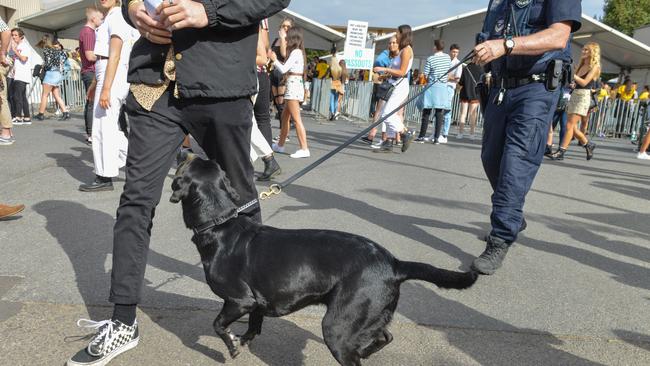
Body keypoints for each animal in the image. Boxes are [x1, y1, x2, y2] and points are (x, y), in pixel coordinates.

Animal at [171, 156, 476, 364]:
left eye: (187, 161)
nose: (184, 149)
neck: (220, 224)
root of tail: (393, 263)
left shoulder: (239, 300)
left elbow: (218, 325)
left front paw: (232, 346)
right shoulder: (257, 301)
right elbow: (254, 325)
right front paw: (243, 340)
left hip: (337, 327)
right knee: (385, 336)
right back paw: (366, 349)